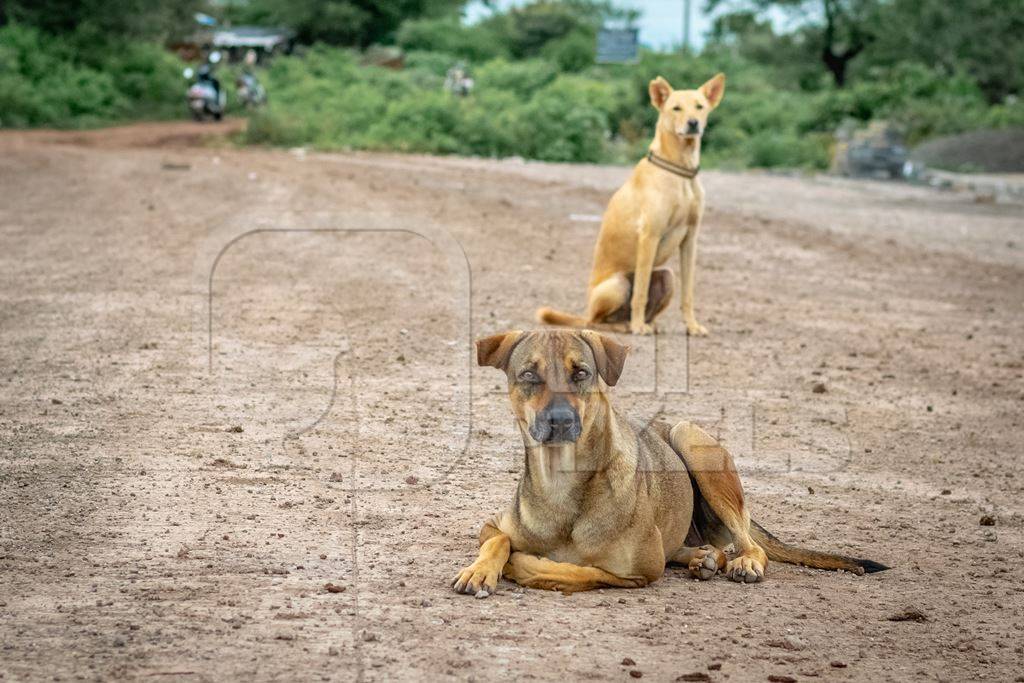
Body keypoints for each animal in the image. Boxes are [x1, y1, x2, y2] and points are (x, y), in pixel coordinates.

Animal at [452, 331, 884, 598]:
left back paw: (740, 561)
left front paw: (527, 566)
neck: (564, 483)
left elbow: (576, 569)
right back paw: (701, 557)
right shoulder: (491, 524)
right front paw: (480, 570)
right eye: (529, 374)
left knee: (749, 544)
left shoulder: (642, 570)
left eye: (581, 373)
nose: (559, 420)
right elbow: (497, 540)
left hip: (690, 438)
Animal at [536, 72, 729, 335]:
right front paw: (638, 326)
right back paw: (629, 325)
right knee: (598, 322)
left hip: (667, 276)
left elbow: (688, 293)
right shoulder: (650, 236)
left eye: (700, 106)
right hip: (616, 285)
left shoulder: (690, 240)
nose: (693, 124)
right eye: (676, 108)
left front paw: (692, 326)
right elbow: (640, 291)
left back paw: (647, 324)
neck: (681, 172)